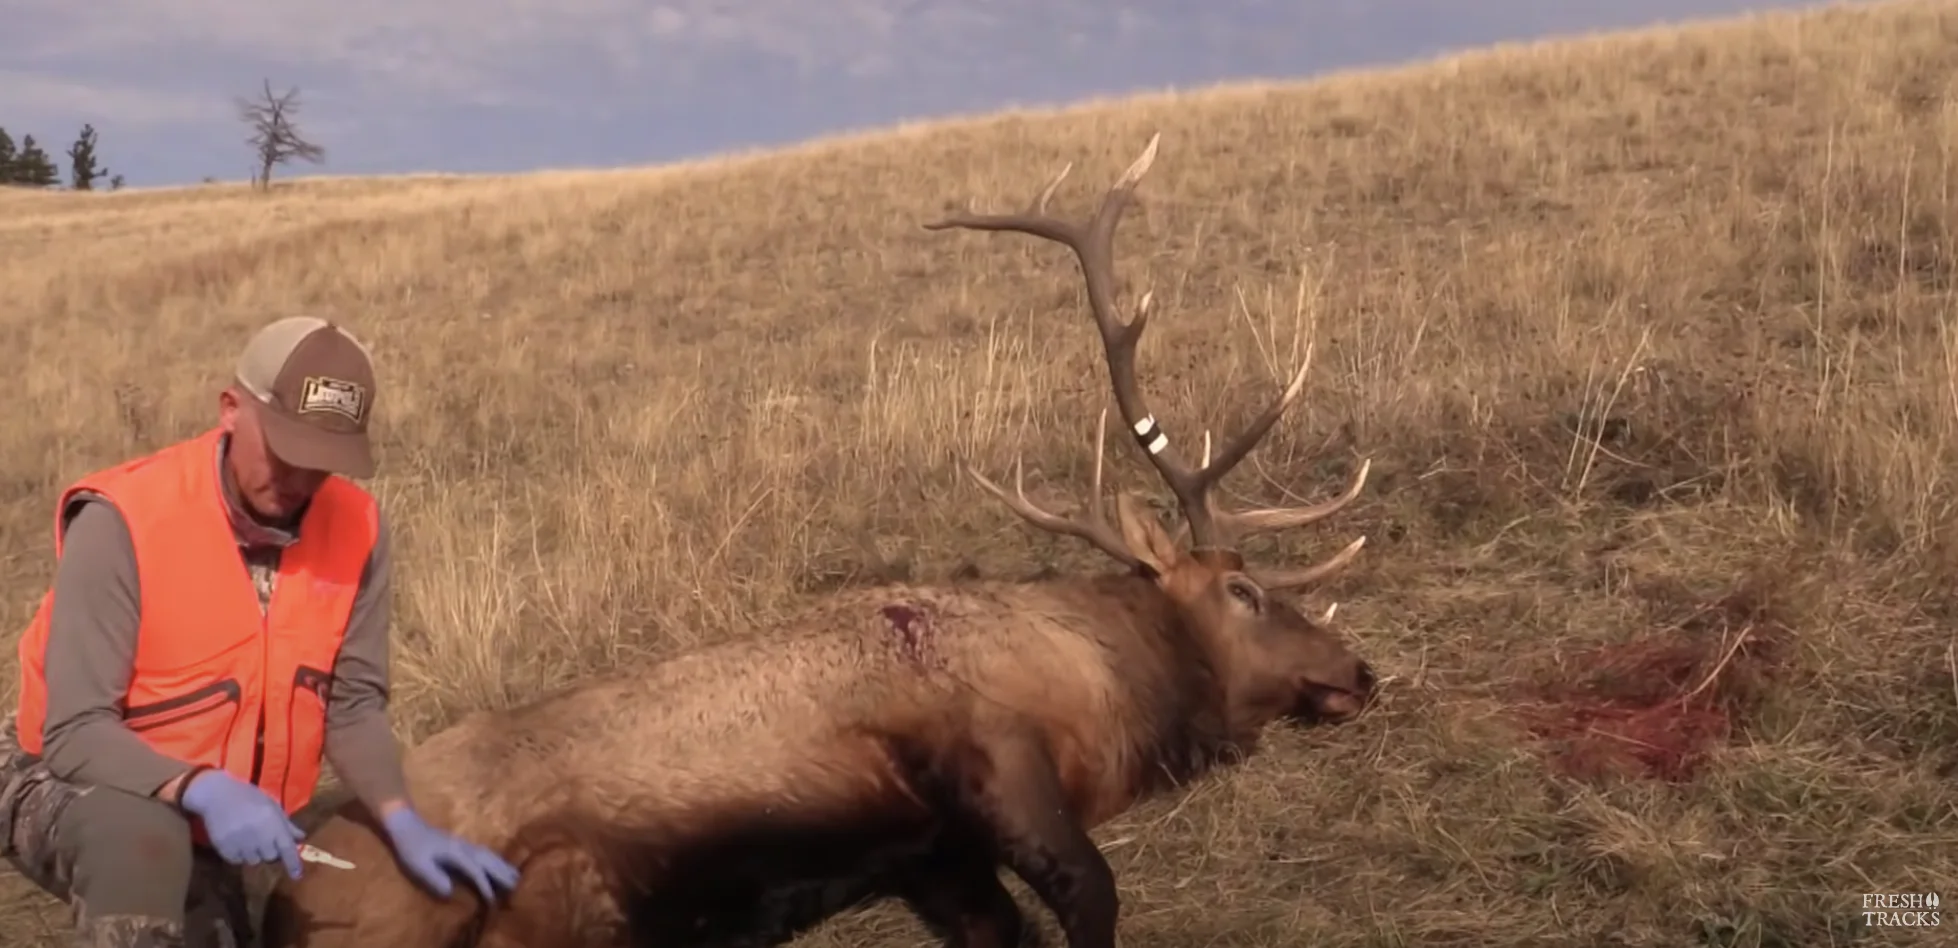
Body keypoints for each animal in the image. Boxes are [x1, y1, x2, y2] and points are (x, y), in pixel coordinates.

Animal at [259, 130, 1376, 948]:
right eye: (1243, 590)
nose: (1359, 672)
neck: (1105, 691)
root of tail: (276, 894)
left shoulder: (934, 854)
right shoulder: (986, 753)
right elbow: (1089, 895)